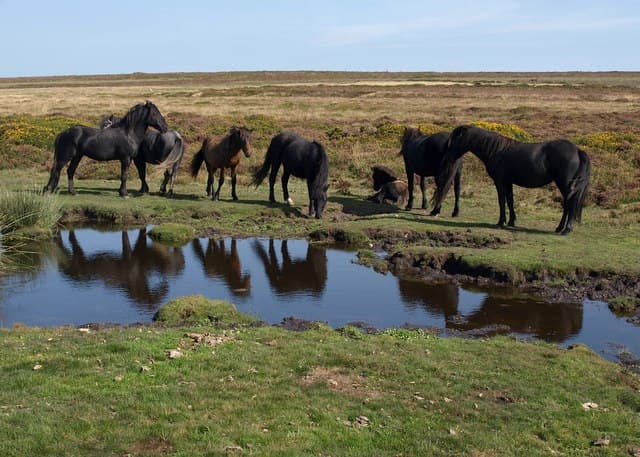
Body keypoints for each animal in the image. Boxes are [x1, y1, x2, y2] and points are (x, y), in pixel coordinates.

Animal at [434, 125, 591, 234]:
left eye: (455, 139)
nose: (446, 158)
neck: (495, 150)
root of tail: (577, 150)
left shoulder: (499, 182)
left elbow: (501, 200)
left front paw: (500, 222)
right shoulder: (508, 182)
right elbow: (510, 200)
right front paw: (511, 221)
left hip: (564, 183)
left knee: (571, 203)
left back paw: (566, 229)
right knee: (568, 203)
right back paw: (560, 228)